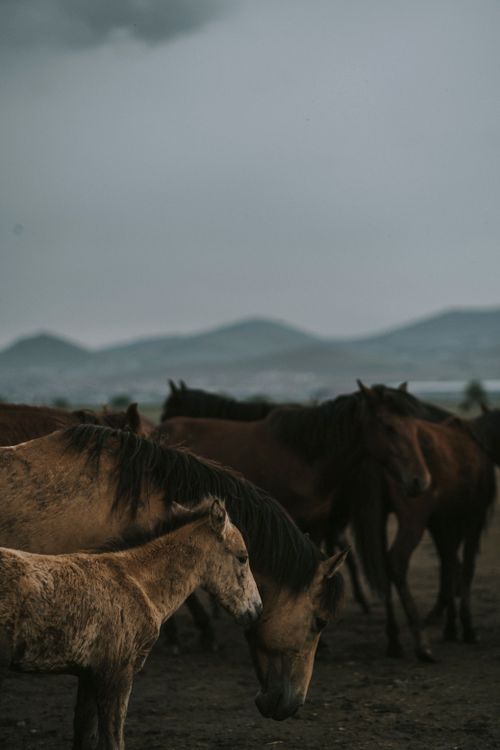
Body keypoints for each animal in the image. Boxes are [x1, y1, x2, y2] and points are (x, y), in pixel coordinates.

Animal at [0, 498, 263, 750]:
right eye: (243, 557)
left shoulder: (88, 674)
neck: (137, 582)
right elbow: (113, 742)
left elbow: (85, 737)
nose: (256, 609)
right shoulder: (117, 674)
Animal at [346, 383, 496, 660]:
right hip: (412, 520)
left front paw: (450, 627)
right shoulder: (473, 519)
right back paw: (420, 641)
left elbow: (449, 564)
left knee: (385, 564)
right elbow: (466, 567)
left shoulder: (443, 522)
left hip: (381, 517)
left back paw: (394, 640)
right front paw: (467, 628)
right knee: (396, 561)